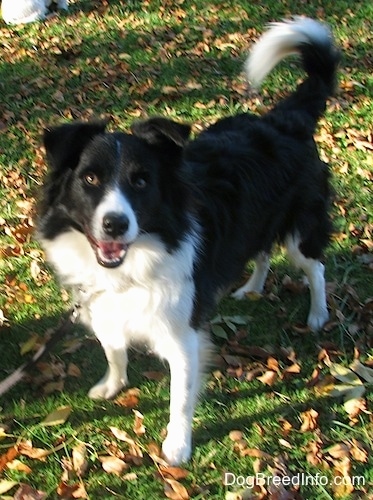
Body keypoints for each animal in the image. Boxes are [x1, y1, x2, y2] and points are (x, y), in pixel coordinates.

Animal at [39, 19, 338, 464]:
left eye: (141, 182)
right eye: (89, 179)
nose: (114, 225)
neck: (137, 260)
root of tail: (286, 119)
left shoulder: (183, 332)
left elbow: (180, 396)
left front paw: (177, 446)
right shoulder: (105, 304)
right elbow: (113, 348)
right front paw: (113, 384)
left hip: (301, 229)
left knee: (315, 266)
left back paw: (318, 313)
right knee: (262, 251)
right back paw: (251, 287)